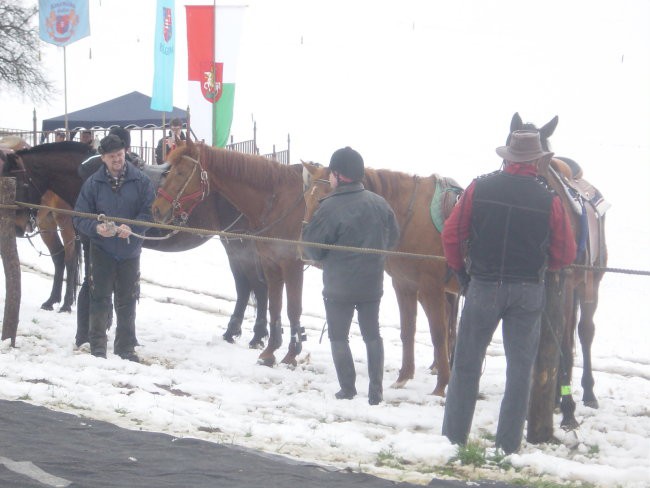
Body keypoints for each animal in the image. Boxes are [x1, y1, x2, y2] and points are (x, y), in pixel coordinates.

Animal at [0, 141, 268, 346]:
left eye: (18, 183)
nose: (18, 227)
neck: (88, 175)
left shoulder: (90, 241)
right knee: (246, 285)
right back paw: (237, 332)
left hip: (239, 242)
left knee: (255, 284)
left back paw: (256, 336)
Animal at [151, 137, 308, 366]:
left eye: (180, 172)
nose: (157, 209)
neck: (277, 199)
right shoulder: (271, 261)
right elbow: (276, 304)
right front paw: (271, 350)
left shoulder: (291, 263)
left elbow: (292, 307)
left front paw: (290, 353)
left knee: (250, 287)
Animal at [508, 114, 612, 438]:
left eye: (543, 162)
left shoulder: (564, 288)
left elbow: (567, 342)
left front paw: (569, 412)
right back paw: (553, 397)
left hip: (589, 286)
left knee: (583, 332)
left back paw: (586, 394)